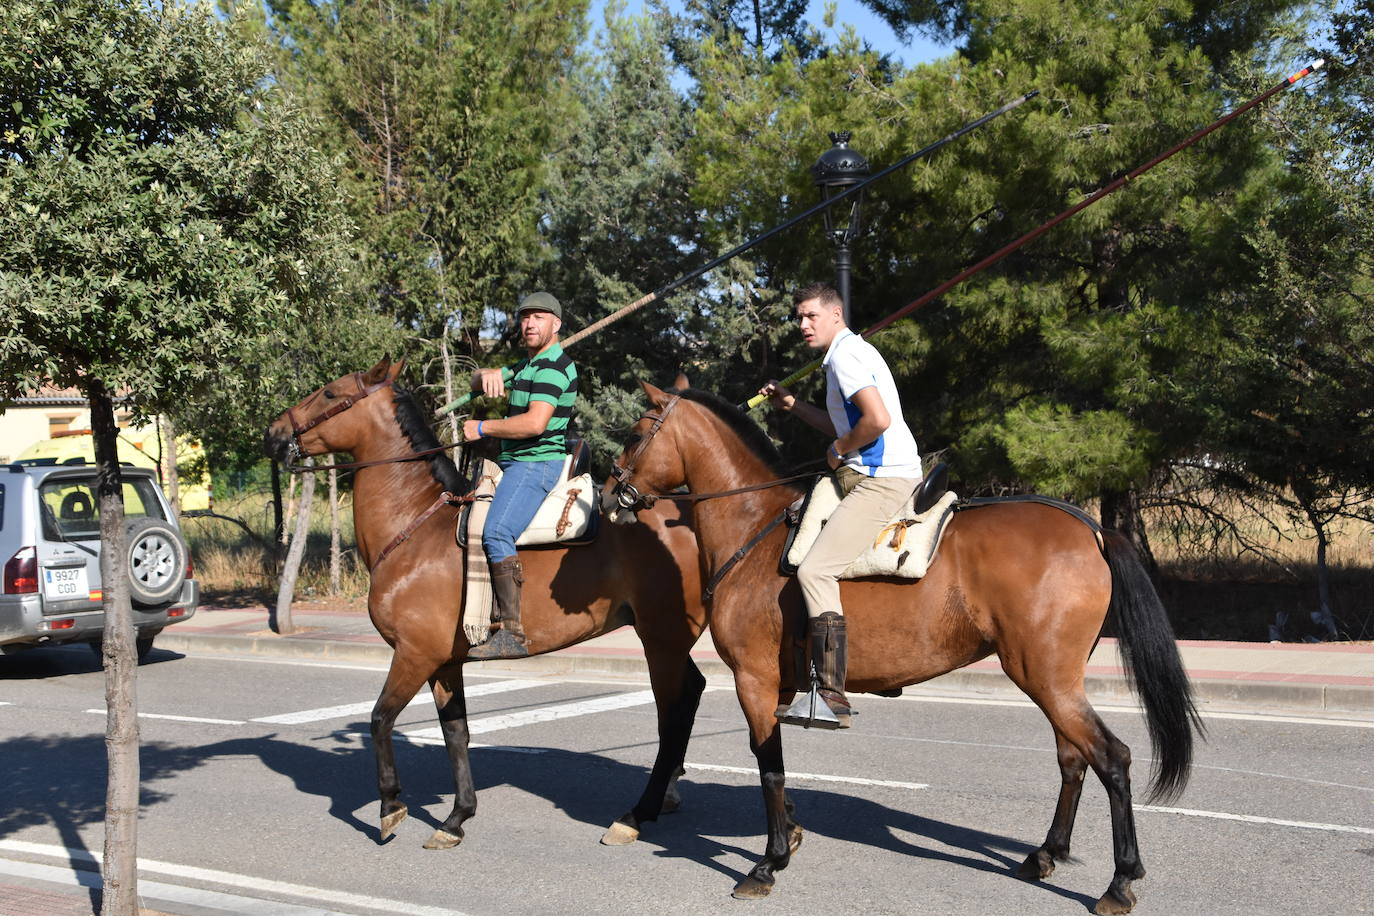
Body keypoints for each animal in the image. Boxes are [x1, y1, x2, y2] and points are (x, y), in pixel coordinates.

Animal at [263, 359, 708, 851]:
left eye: (328, 394)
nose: (273, 432)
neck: (414, 527)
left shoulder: (414, 655)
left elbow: (380, 719)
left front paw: (390, 806)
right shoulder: (443, 662)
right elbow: (456, 733)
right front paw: (457, 817)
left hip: (661, 641)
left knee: (674, 713)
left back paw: (640, 811)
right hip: (668, 641)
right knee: (691, 695)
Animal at [601, 384, 1203, 911]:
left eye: (635, 434)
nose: (609, 494)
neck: (756, 530)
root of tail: (1091, 529)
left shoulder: (755, 679)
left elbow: (768, 767)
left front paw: (768, 863)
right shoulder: (777, 683)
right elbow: (775, 770)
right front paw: (788, 835)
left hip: (1045, 677)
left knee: (1112, 758)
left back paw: (1120, 881)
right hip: (1055, 680)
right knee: (1074, 759)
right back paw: (1045, 854)